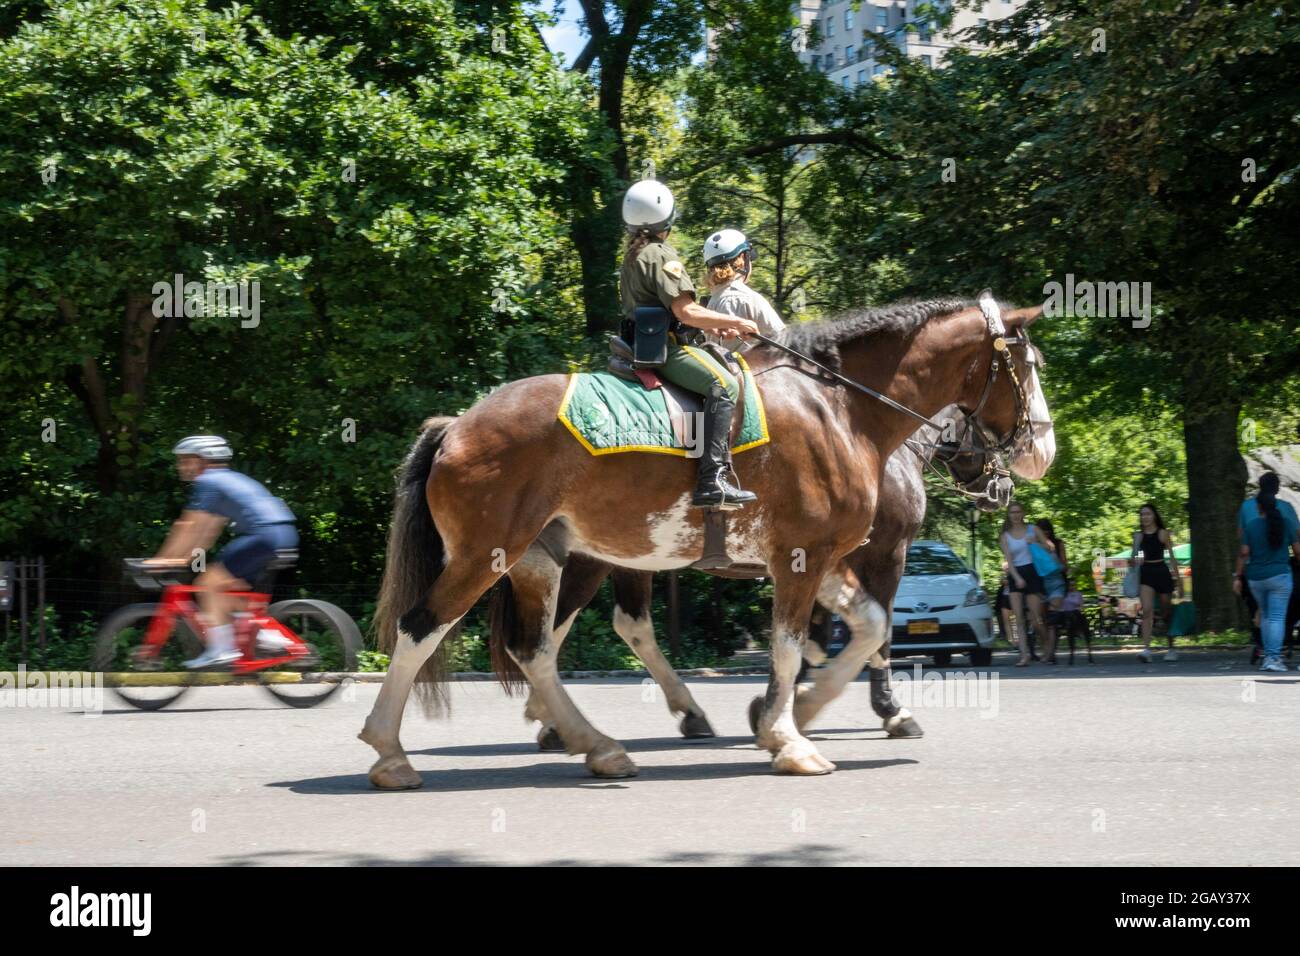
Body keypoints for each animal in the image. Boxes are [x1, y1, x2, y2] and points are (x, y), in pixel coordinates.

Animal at [364, 295, 1045, 790]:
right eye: (1029, 365)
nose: (1039, 451)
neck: (841, 408)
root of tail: (457, 425)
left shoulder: (824, 559)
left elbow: (868, 628)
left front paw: (796, 712)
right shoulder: (810, 559)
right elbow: (793, 647)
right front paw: (792, 735)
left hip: (544, 559)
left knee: (537, 650)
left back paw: (594, 742)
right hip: (489, 556)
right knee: (421, 629)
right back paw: (391, 752)